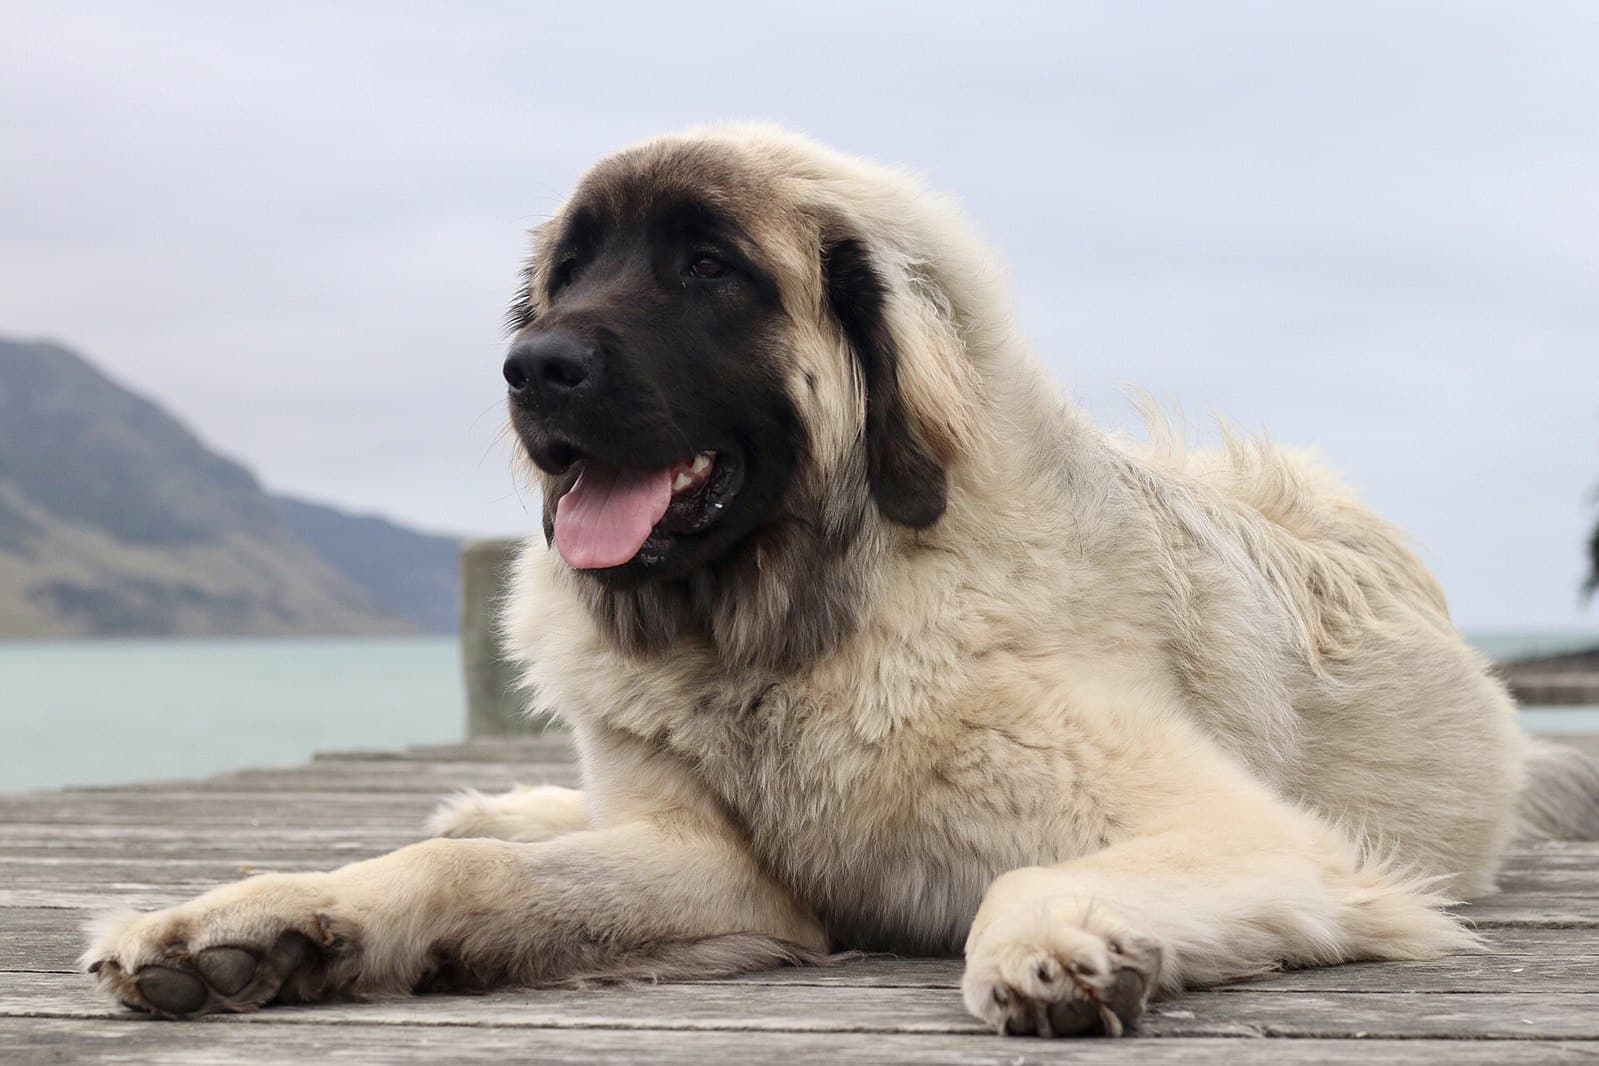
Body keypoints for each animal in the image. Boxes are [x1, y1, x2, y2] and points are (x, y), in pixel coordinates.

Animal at [87, 125, 1599, 1035]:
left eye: (708, 267)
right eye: (570, 272)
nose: (530, 367)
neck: (795, 629)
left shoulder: (1254, 835)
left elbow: (1031, 872)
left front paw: (1058, 936)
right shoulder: (719, 865)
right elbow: (458, 867)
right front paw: (257, 924)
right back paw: (497, 797)